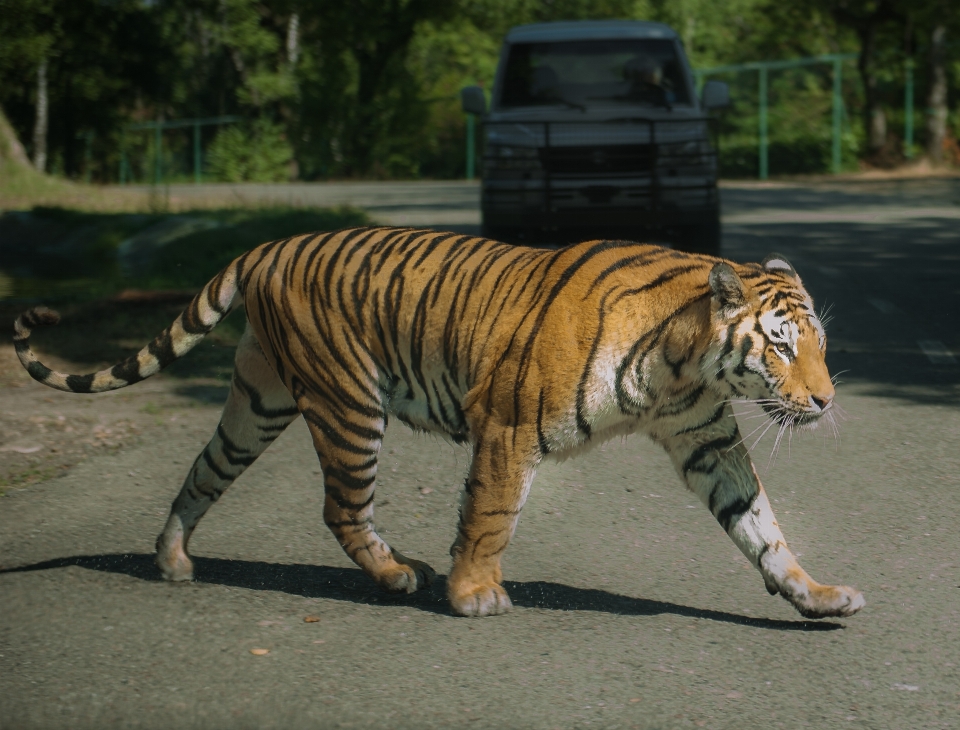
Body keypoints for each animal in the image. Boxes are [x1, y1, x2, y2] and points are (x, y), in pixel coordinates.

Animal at [11, 225, 868, 616]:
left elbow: (761, 526)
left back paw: (172, 560)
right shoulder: (509, 426)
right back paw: (398, 575)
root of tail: (270, 243)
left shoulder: (708, 441)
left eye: (820, 347)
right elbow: (490, 515)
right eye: (782, 347)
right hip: (349, 405)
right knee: (341, 508)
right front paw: (474, 594)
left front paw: (816, 595)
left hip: (257, 403)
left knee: (201, 473)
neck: (683, 364)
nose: (826, 402)